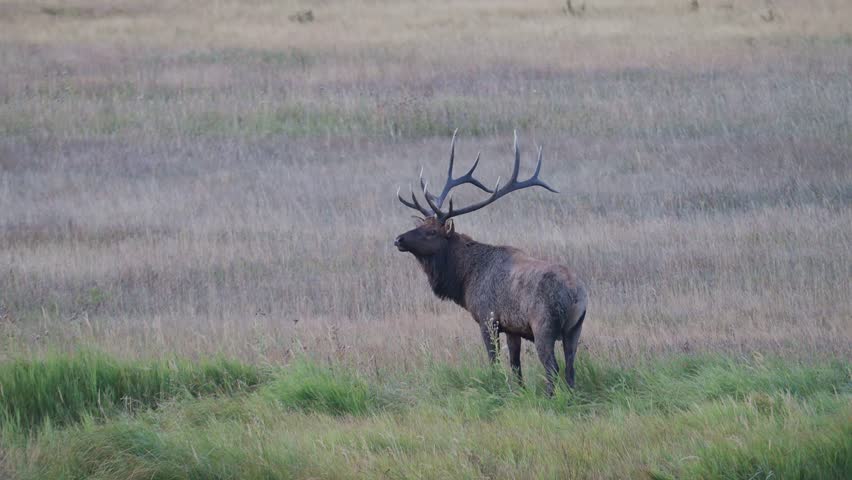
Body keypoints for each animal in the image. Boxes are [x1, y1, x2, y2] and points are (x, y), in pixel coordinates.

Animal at [394, 131, 588, 395]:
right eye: (419, 225)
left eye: (431, 232)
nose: (398, 239)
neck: (464, 281)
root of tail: (576, 294)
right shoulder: (512, 327)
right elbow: (515, 366)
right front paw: (518, 392)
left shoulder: (488, 318)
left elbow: (494, 362)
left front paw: (497, 389)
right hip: (575, 328)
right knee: (570, 368)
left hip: (544, 324)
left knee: (553, 368)